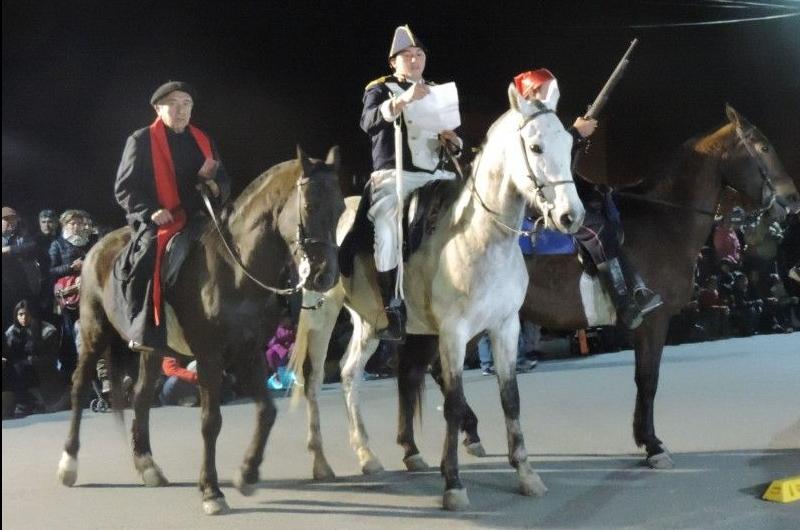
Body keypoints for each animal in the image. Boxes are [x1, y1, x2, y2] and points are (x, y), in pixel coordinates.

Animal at [56, 145, 344, 512]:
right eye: (309, 206)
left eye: (340, 209)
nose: (325, 276)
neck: (235, 268)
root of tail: (95, 248)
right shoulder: (210, 356)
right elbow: (211, 421)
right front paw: (211, 490)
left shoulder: (250, 352)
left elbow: (267, 411)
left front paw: (247, 474)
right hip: (94, 333)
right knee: (80, 387)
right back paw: (69, 464)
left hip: (151, 348)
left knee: (142, 396)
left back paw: (147, 465)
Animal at [290, 81, 584, 508]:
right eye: (536, 147)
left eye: (568, 142)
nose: (570, 216)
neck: (481, 237)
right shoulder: (453, 333)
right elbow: (454, 401)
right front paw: (454, 485)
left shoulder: (505, 327)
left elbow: (510, 398)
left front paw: (526, 474)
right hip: (322, 313)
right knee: (313, 379)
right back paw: (321, 462)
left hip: (370, 323)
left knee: (348, 373)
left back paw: (368, 454)